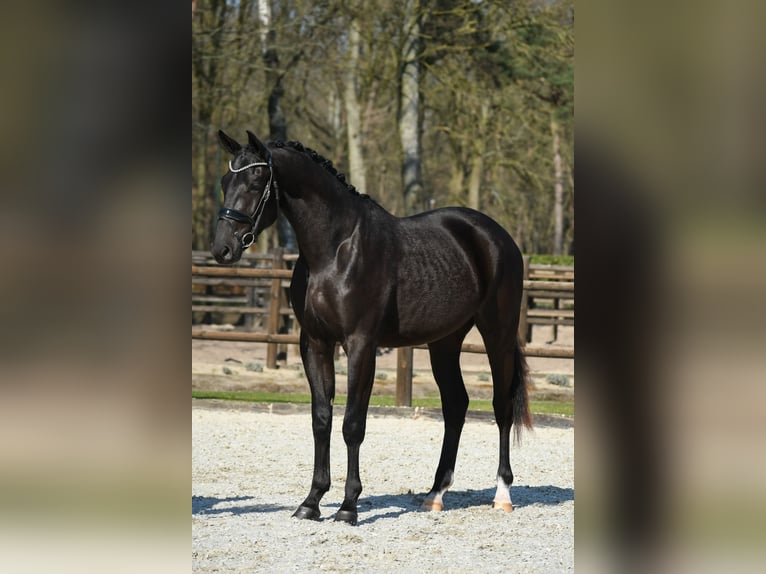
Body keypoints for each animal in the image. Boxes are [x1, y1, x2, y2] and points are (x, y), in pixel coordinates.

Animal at [210, 130, 532, 525]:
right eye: (225, 182)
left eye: (257, 181)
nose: (222, 249)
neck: (335, 250)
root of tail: (497, 236)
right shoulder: (315, 343)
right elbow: (321, 419)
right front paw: (312, 501)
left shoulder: (361, 344)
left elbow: (352, 424)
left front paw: (348, 507)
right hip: (445, 341)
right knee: (456, 405)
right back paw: (435, 494)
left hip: (497, 333)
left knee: (501, 406)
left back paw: (502, 494)